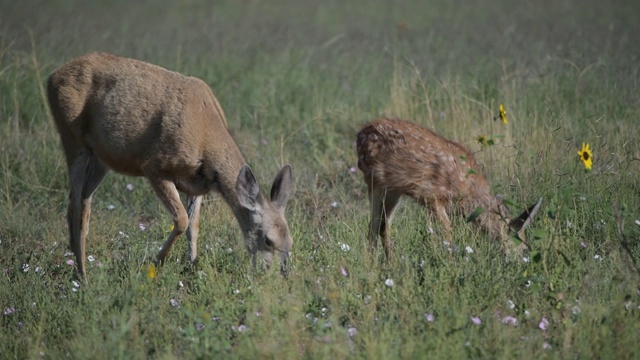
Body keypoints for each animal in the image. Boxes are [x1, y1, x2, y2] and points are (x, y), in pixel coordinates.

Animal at [46, 52, 294, 278]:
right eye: (268, 240)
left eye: (290, 240)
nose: (278, 275)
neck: (205, 136)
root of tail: (52, 77)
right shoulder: (154, 166)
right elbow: (182, 220)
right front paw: (155, 264)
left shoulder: (198, 185)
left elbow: (194, 227)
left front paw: (192, 268)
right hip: (71, 137)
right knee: (75, 202)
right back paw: (82, 274)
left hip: (100, 157)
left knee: (81, 200)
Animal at [358, 119, 544, 258]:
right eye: (523, 249)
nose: (520, 265)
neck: (469, 190)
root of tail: (360, 134)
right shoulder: (433, 196)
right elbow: (448, 234)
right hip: (376, 183)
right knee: (376, 226)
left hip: (392, 190)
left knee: (381, 226)